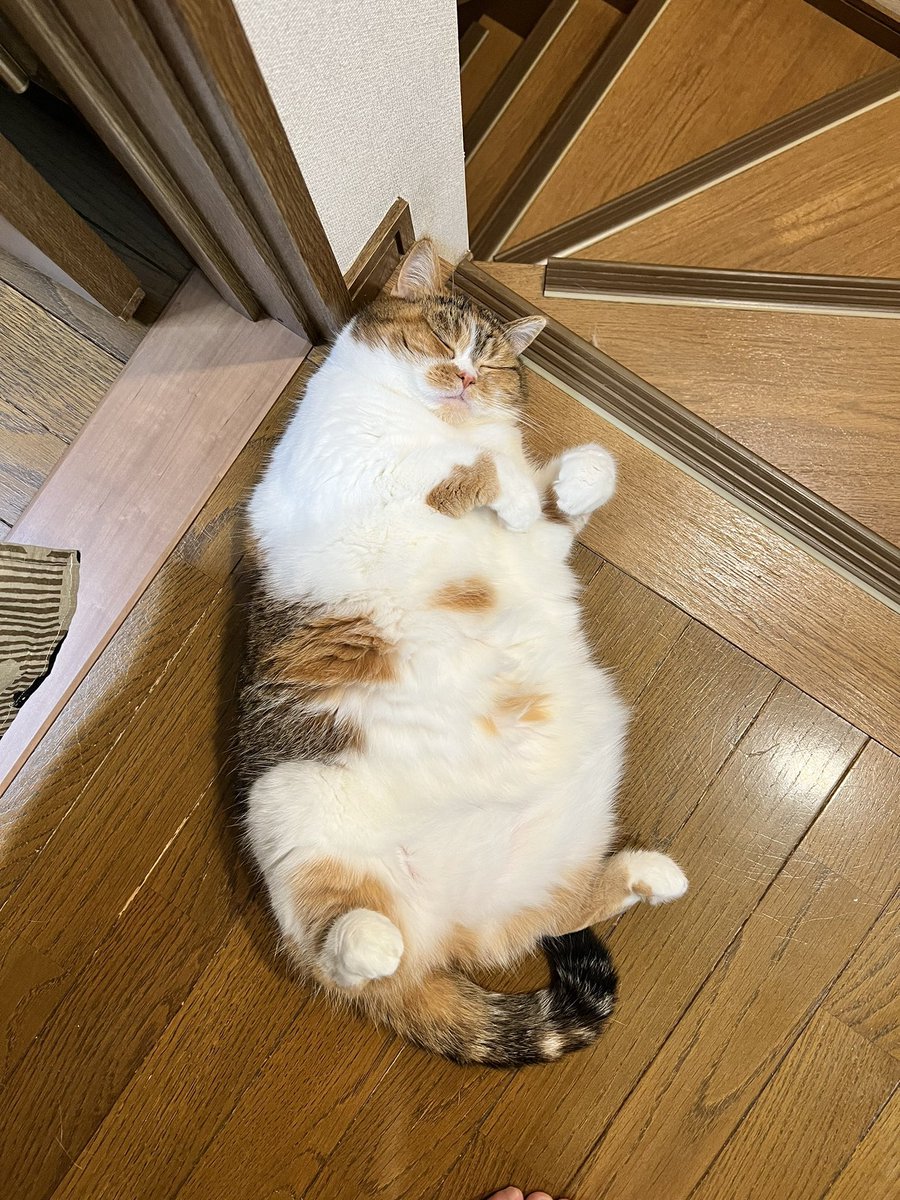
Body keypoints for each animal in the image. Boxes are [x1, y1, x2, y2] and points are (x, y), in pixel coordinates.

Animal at [240, 238, 688, 1067]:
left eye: (495, 358)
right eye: (446, 339)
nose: (470, 379)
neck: (440, 424)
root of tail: (447, 931)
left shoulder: (537, 538)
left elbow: (566, 488)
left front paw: (576, 481)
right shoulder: (350, 472)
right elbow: (460, 472)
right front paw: (501, 482)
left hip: (553, 852)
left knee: (552, 915)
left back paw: (650, 873)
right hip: (289, 808)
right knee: (340, 958)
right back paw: (366, 941)